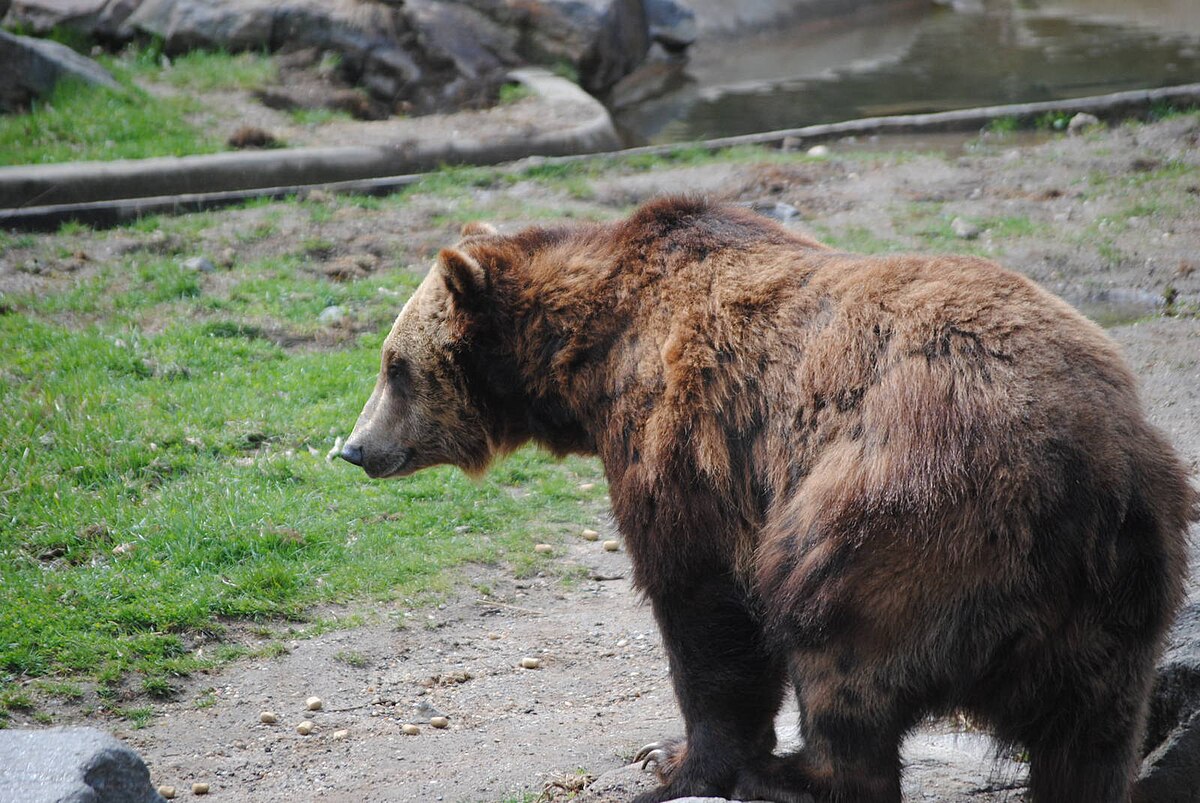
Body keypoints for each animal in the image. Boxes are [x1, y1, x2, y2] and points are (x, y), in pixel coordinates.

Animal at [338, 195, 1190, 801]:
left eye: (393, 365)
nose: (354, 447)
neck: (590, 356)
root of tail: (1095, 472)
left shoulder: (686, 446)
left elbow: (705, 613)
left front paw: (676, 759)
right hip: (1124, 592)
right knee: (1093, 737)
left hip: (903, 515)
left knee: (838, 650)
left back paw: (794, 774)